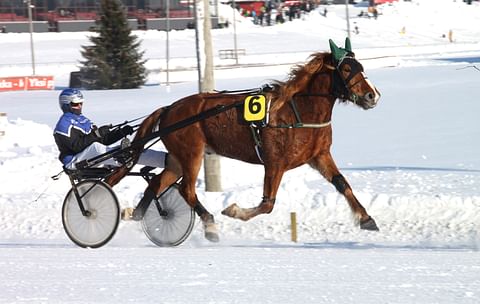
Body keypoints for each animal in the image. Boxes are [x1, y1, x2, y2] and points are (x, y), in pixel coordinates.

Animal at [106, 38, 382, 242]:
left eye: (360, 66)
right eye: (346, 69)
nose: (372, 95)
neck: (298, 111)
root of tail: (169, 109)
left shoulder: (319, 155)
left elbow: (343, 184)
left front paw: (366, 218)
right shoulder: (275, 162)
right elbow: (267, 204)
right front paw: (234, 210)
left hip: (177, 158)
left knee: (157, 184)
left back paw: (136, 214)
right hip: (192, 153)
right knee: (186, 189)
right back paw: (210, 225)